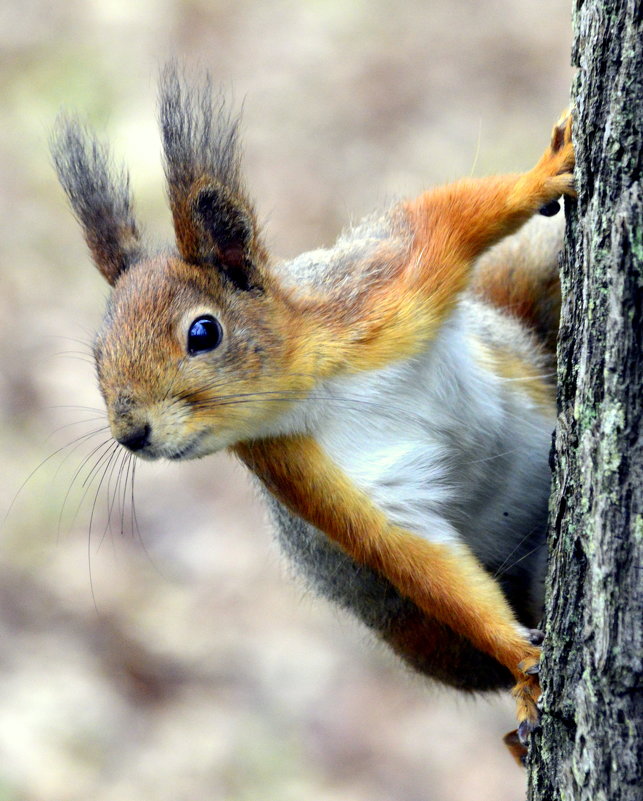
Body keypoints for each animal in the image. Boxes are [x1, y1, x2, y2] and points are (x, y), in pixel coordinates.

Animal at [52, 65, 580, 760]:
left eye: (203, 332)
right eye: (98, 350)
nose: (130, 433)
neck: (314, 387)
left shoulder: (383, 289)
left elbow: (450, 217)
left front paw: (545, 172)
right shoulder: (300, 470)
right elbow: (414, 558)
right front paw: (525, 667)